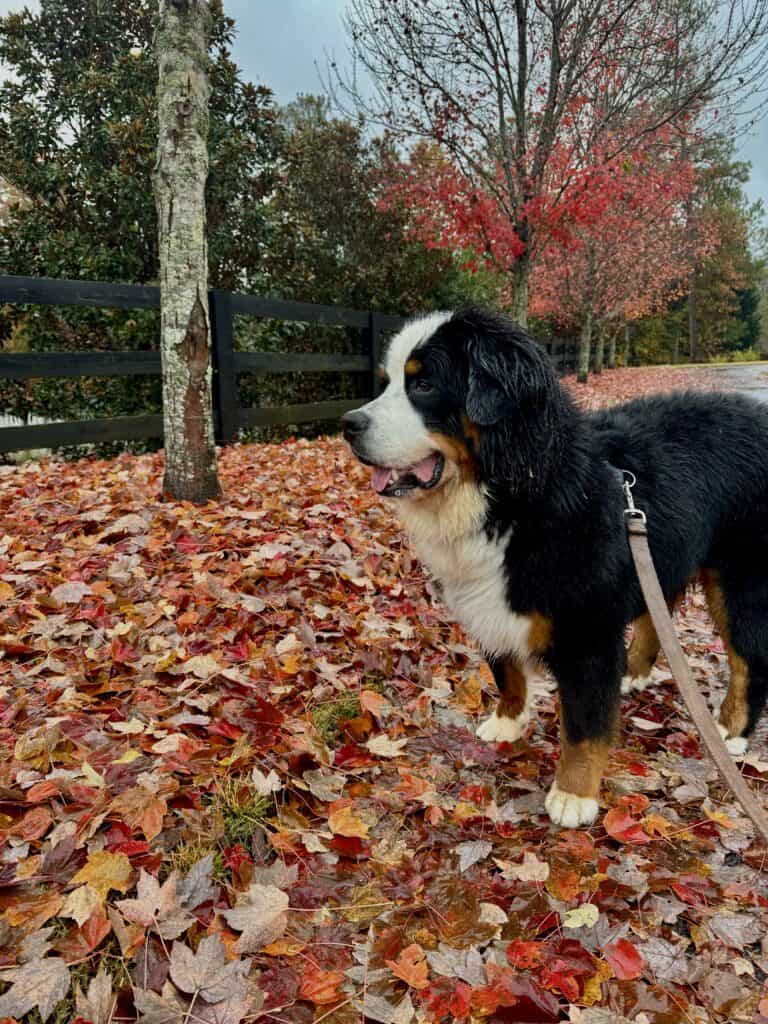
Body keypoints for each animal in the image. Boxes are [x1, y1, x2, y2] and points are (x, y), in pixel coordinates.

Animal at [342, 307, 768, 827]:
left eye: (422, 385)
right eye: (386, 383)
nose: (347, 423)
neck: (517, 490)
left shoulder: (587, 629)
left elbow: (583, 724)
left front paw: (574, 793)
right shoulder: (491, 601)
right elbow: (506, 670)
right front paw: (507, 721)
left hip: (740, 581)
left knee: (749, 661)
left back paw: (731, 732)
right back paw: (635, 672)